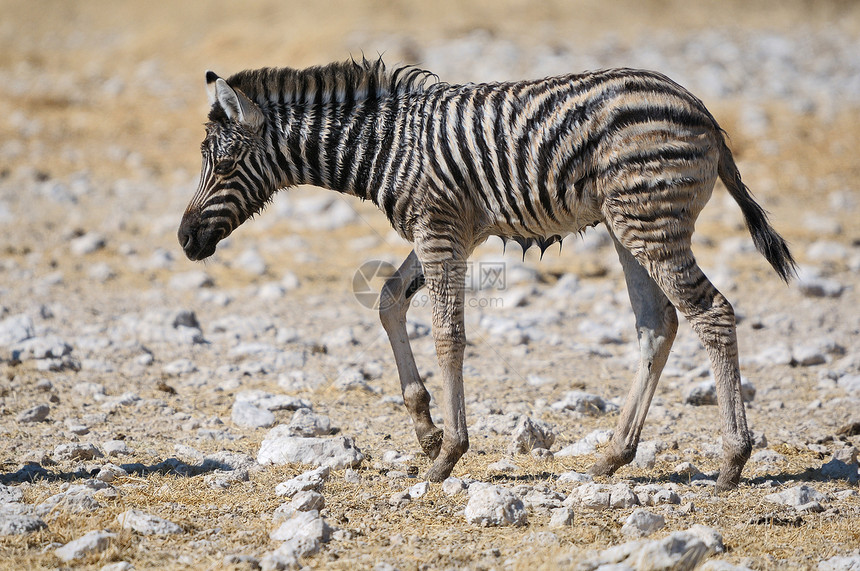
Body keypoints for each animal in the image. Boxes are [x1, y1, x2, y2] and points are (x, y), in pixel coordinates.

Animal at [178, 58, 796, 492]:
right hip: (627, 227)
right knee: (658, 323)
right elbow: (388, 299)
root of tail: (699, 106)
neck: (386, 145)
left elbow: (448, 336)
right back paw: (612, 457)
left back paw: (732, 463)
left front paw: (448, 455)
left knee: (711, 313)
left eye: (225, 165)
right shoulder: (450, 232)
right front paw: (426, 430)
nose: (184, 241)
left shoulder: (439, 230)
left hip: (650, 223)